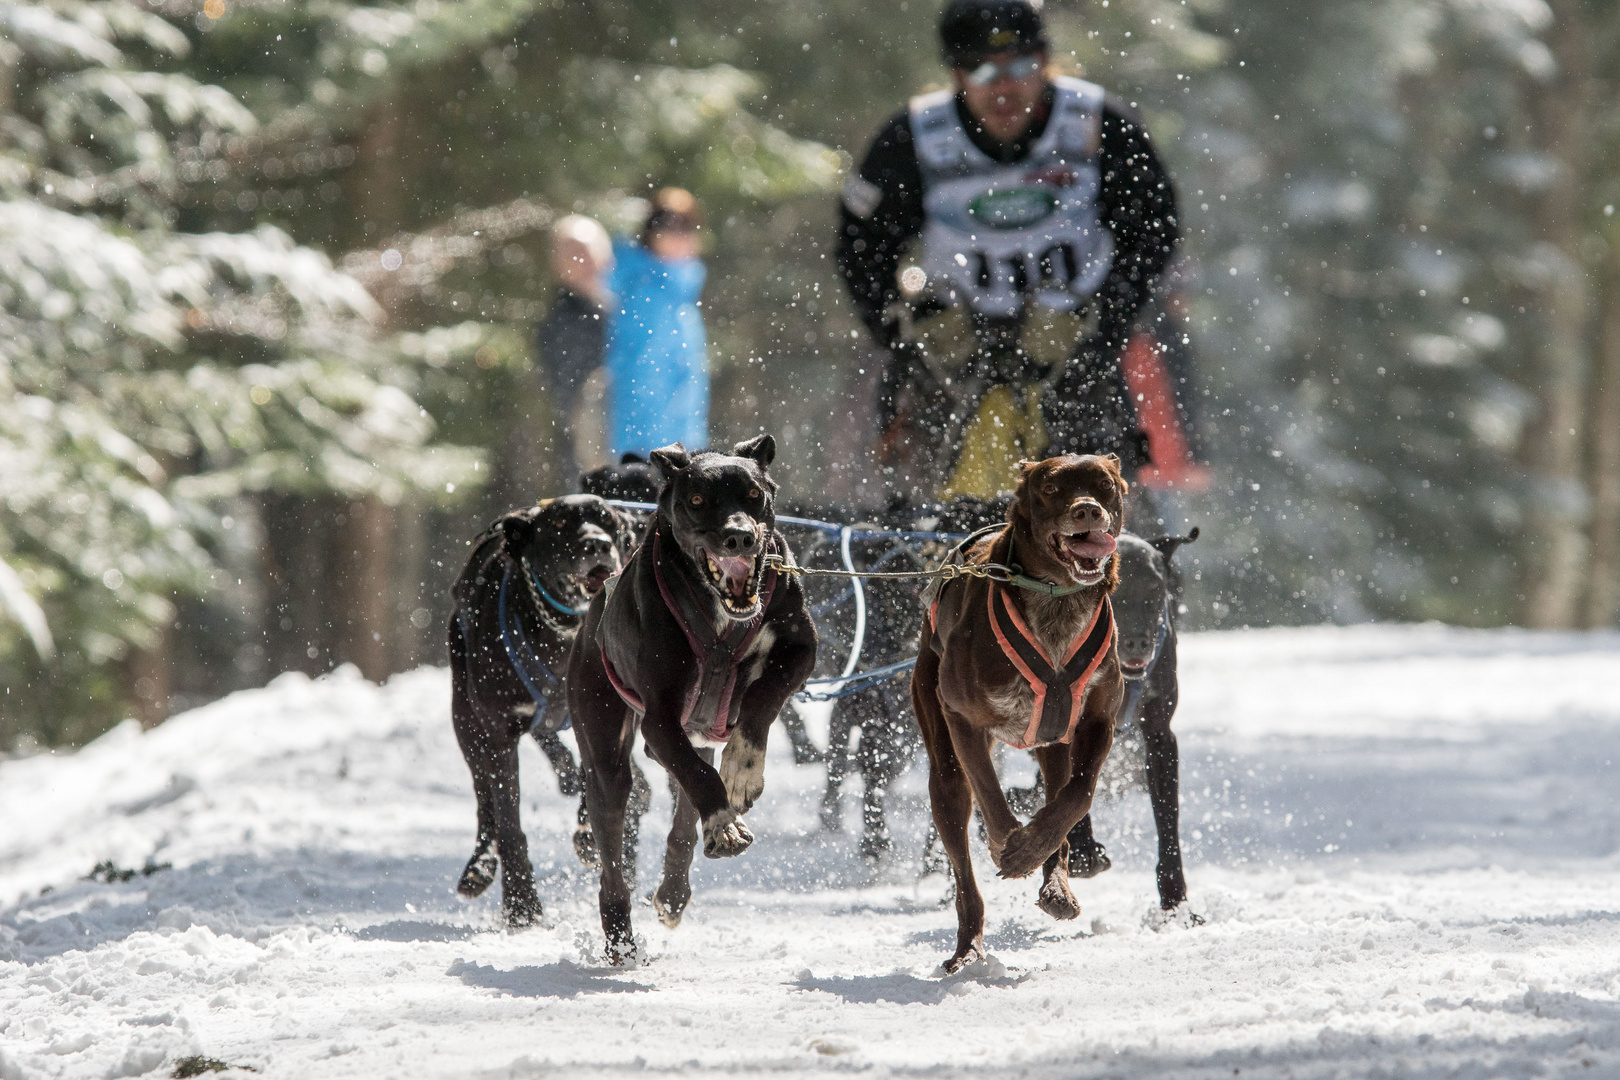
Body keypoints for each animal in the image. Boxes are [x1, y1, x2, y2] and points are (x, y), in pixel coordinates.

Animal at [453, 495, 641, 926]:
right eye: (559, 525)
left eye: (609, 522)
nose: (597, 543)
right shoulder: (499, 734)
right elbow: (509, 822)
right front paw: (521, 902)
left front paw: (590, 830)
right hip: (465, 722)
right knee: (484, 799)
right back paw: (480, 865)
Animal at [570, 437, 822, 965]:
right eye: (699, 500)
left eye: (753, 495)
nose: (739, 538)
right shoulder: (660, 718)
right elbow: (702, 779)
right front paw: (724, 822)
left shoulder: (799, 649)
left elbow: (762, 702)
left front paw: (743, 771)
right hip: (606, 750)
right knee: (613, 854)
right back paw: (620, 938)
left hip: (693, 739)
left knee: (683, 822)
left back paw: (673, 892)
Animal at [913, 453, 1127, 977]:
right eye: (1051, 488)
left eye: (1105, 485)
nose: (1088, 510)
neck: (1057, 604)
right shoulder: (963, 719)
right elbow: (990, 793)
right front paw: (1009, 844)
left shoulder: (1098, 721)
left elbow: (1078, 797)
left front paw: (1033, 847)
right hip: (942, 765)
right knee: (965, 873)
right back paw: (968, 948)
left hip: (1053, 747)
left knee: (1060, 805)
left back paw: (1056, 885)